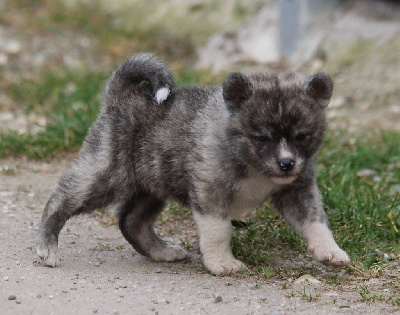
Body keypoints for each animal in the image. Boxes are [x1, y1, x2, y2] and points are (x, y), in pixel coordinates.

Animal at [37, 53, 350, 276]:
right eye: (261, 138)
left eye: (302, 136)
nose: (287, 164)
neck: (250, 162)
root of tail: (118, 99)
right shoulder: (210, 191)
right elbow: (219, 230)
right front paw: (222, 263)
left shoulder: (297, 191)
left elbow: (316, 220)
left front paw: (330, 250)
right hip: (108, 175)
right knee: (61, 198)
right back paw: (47, 247)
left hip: (152, 185)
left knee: (131, 221)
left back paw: (162, 252)